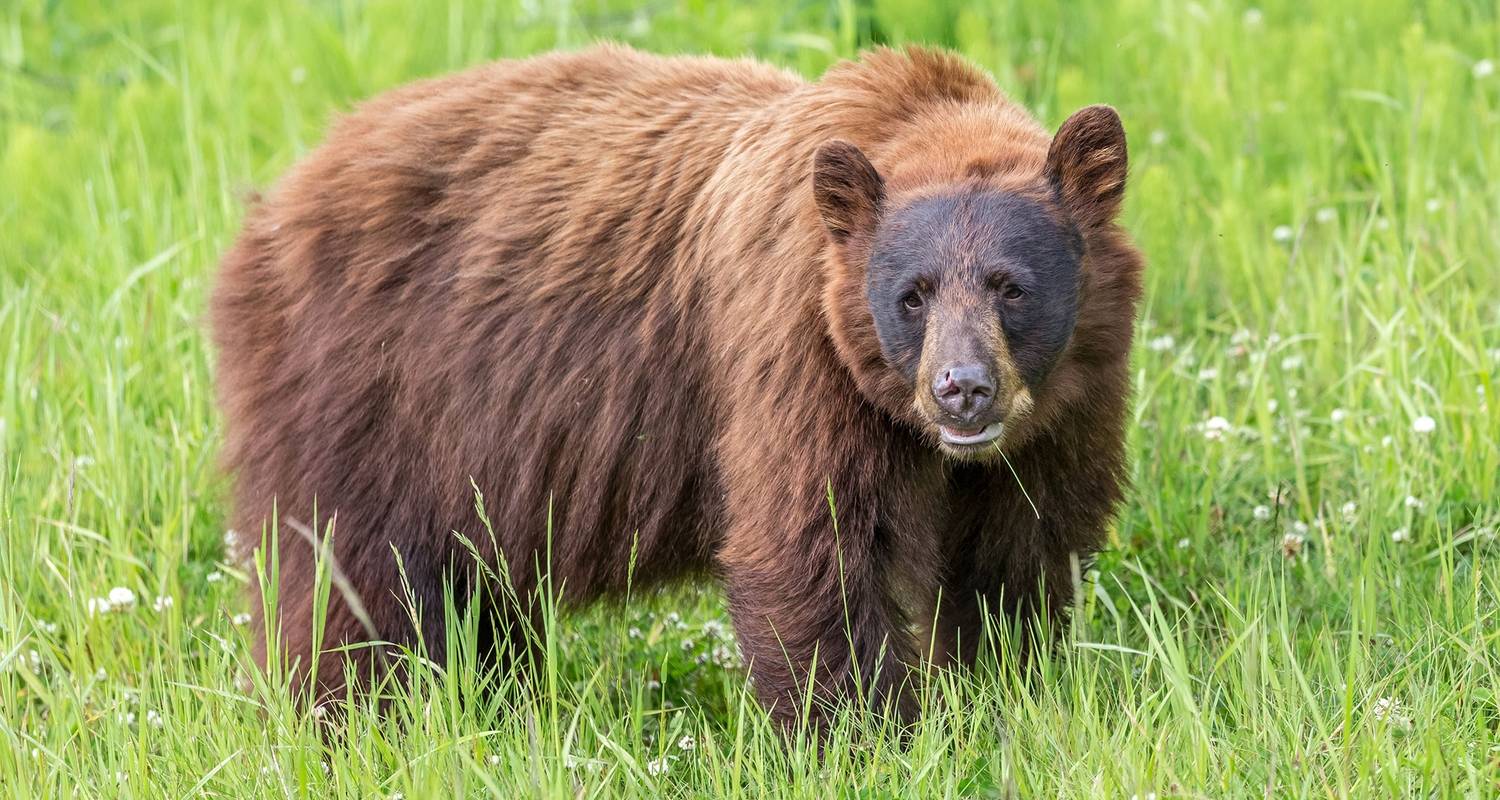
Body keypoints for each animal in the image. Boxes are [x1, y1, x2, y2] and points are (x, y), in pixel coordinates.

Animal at [211, 45, 1140, 729]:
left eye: (1010, 285)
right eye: (912, 294)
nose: (961, 390)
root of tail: (278, 199)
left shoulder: (1065, 412)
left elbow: (1015, 553)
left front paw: (1004, 697)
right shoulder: (796, 356)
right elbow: (818, 546)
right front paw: (862, 736)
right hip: (367, 391)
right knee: (353, 579)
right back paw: (356, 719)